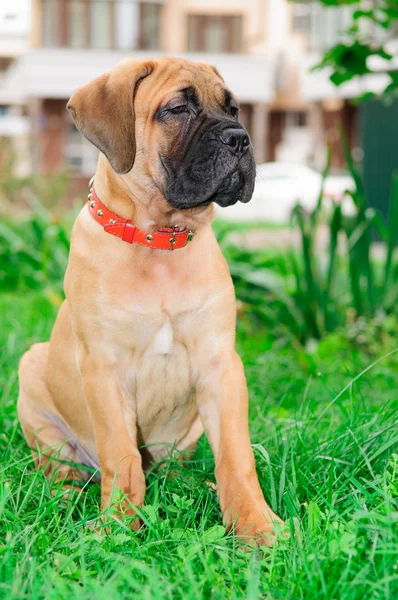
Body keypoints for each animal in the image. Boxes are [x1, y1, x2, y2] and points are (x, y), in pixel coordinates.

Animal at [17, 56, 282, 544]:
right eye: (177, 109)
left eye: (234, 109)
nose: (240, 138)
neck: (158, 241)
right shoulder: (104, 369)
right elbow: (121, 457)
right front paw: (118, 526)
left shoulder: (221, 365)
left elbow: (237, 458)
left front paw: (256, 526)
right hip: (32, 375)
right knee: (57, 465)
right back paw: (66, 495)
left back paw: (190, 485)